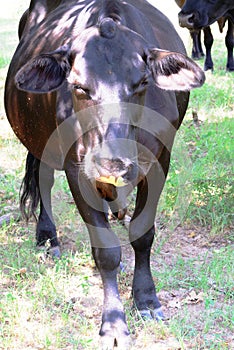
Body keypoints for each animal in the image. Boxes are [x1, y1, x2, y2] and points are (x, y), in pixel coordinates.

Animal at [4, 0, 205, 348]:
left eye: (142, 83)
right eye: (79, 87)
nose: (112, 162)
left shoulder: (160, 160)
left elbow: (142, 233)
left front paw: (146, 299)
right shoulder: (76, 167)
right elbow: (106, 250)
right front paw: (113, 322)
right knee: (43, 178)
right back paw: (47, 235)